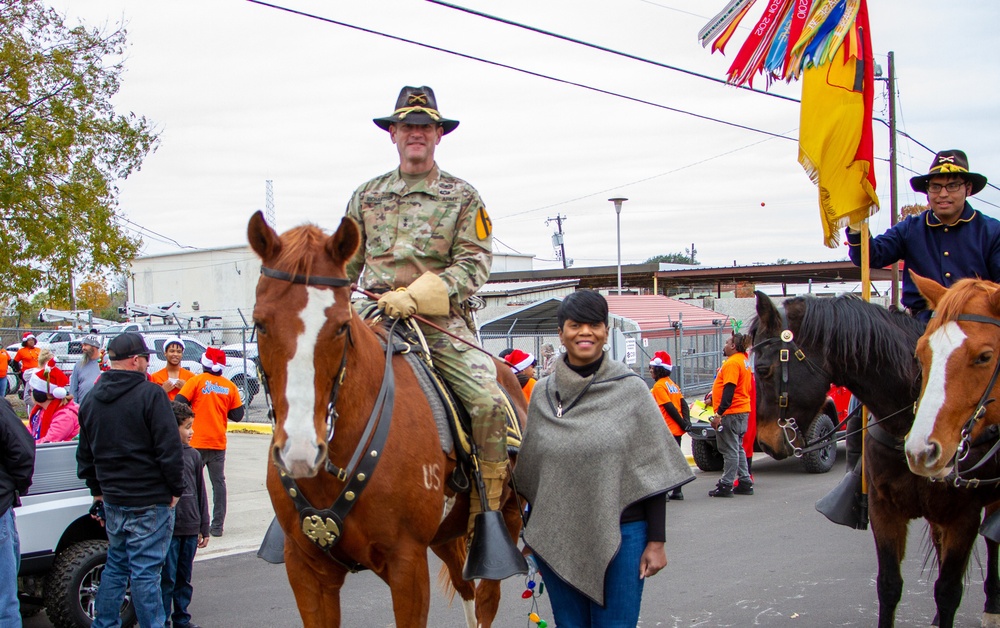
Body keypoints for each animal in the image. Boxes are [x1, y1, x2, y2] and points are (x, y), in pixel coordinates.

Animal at [247, 212, 528, 628]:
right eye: (261, 323)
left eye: (341, 325)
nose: (299, 450)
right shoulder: (305, 568)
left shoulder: (406, 563)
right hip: (446, 536)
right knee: (465, 587)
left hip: (505, 521)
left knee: (485, 600)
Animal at [752, 292, 1000, 628]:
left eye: (763, 369)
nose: (765, 441)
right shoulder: (885, 511)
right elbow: (889, 586)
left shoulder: (963, 517)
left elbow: (948, 591)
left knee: (993, 542)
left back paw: (992, 606)